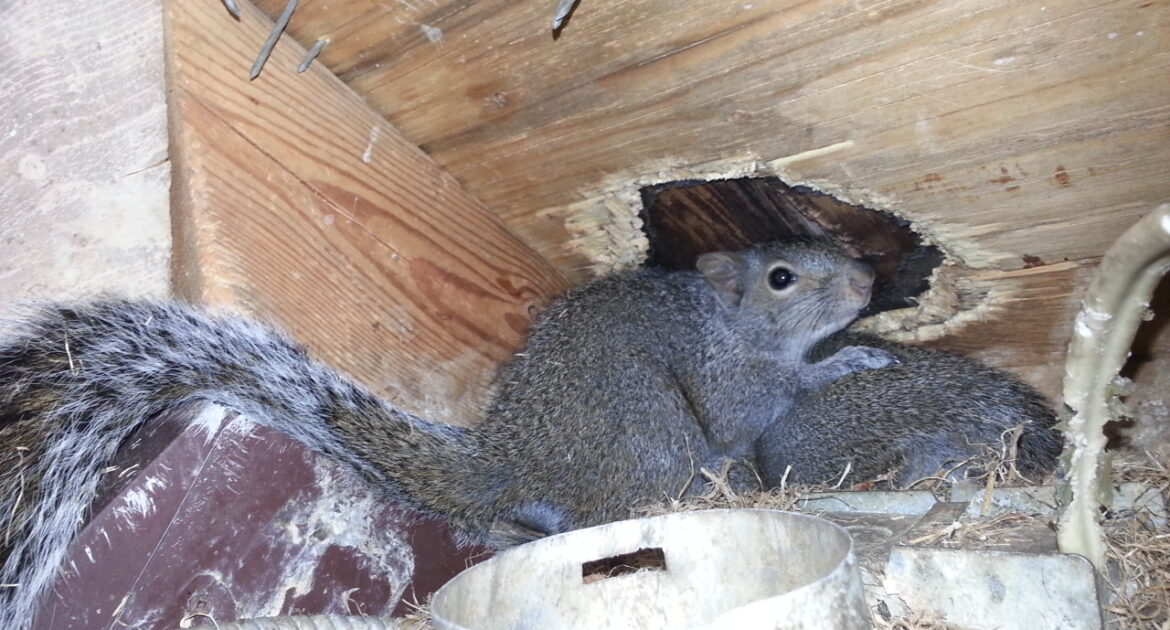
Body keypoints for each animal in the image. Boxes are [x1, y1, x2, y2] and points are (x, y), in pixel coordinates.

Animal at [0, 238, 896, 627]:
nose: (867, 279)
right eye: (782, 276)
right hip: (653, 437)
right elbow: (755, 406)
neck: (730, 322)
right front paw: (846, 360)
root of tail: (513, 456)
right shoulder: (725, 379)